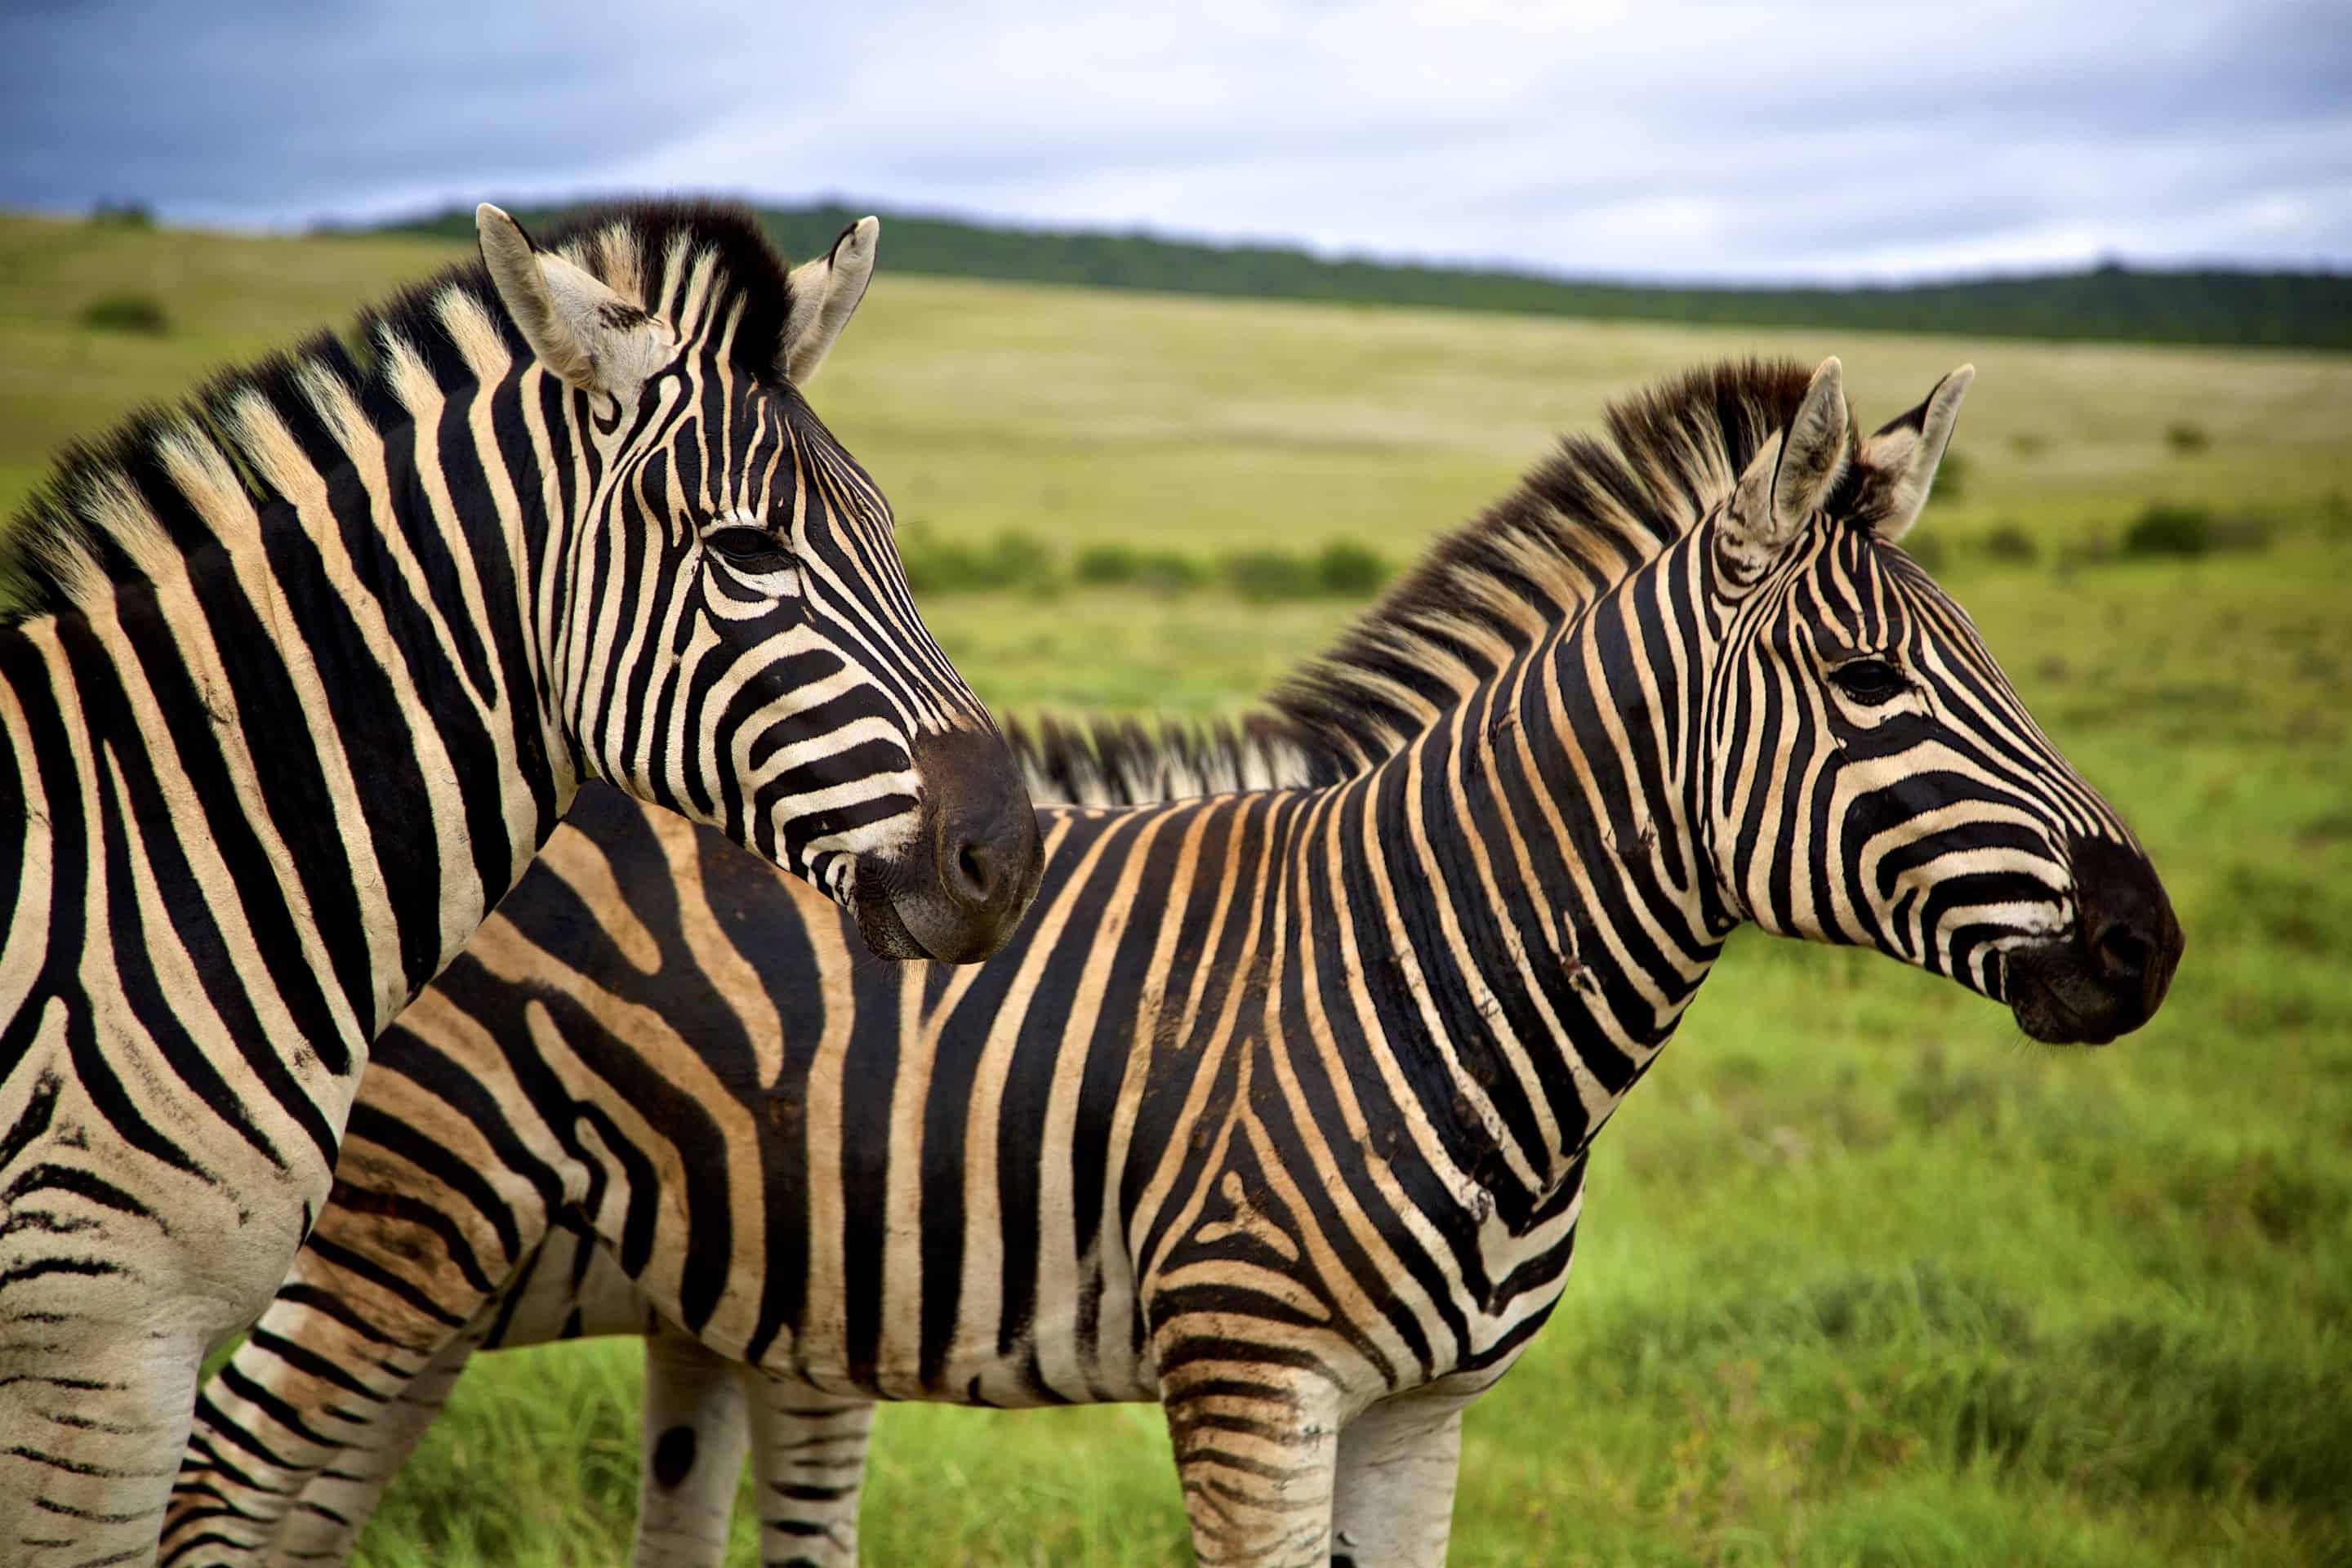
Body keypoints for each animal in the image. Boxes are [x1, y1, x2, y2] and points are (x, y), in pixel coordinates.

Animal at [174, 359, 2173, 1568]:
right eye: (1872, 685)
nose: (2145, 942)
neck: (1428, 971)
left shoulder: (1424, 1416)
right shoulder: (1253, 1385)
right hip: (387, 1227)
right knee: (225, 1480)